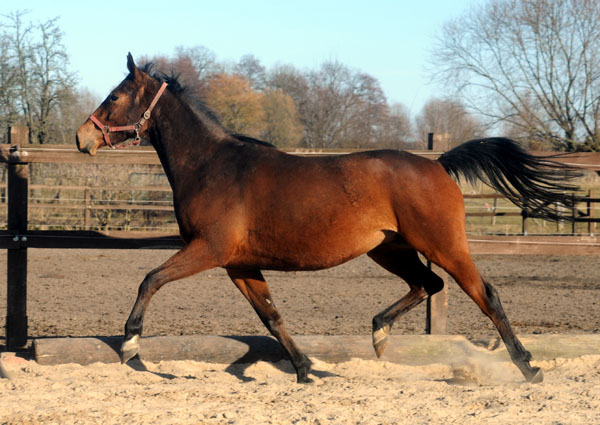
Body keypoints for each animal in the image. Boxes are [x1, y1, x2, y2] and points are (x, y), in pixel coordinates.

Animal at [77, 53, 580, 384]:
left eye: (115, 95)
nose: (83, 137)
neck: (211, 165)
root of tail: (437, 164)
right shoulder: (239, 263)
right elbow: (271, 316)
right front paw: (304, 370)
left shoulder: (210, 249)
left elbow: (150, 279)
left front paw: (130, 346)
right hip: (391, 249)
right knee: (428, 284)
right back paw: (378, 334)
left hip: (443, 245)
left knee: (484, 294)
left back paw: (528, 366)